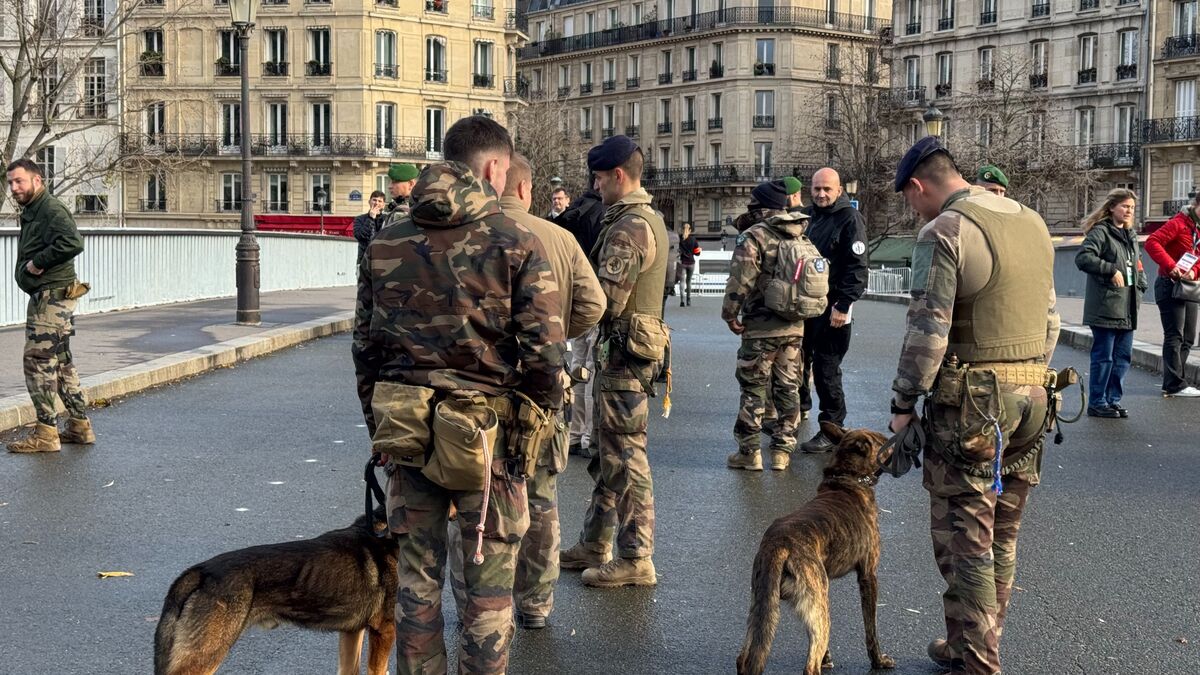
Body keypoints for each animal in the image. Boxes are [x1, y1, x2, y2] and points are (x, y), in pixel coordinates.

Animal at [734, 422, 897, 667]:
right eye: (884, 442)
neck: (847, 478)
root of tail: (778, 544)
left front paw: (826, 657)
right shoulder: (868, 575)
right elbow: (871, 628)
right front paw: (878, 660)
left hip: (764, 606)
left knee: (744, 657)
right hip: (815, 605)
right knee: (809, 667)